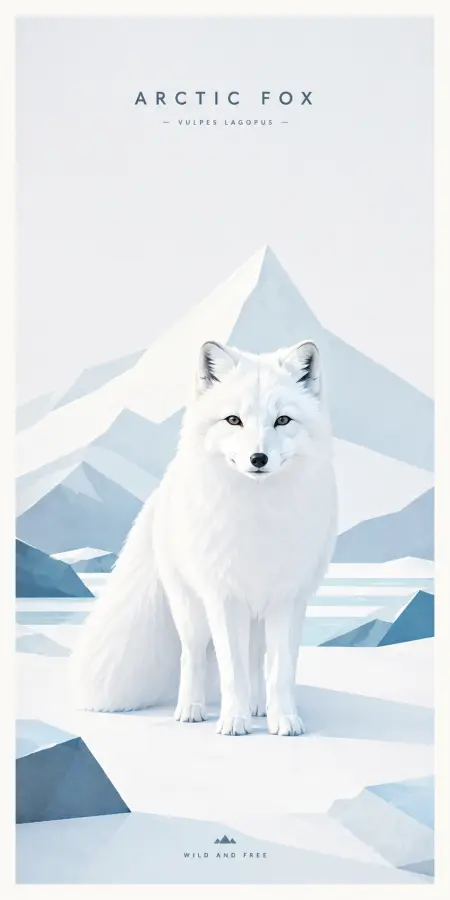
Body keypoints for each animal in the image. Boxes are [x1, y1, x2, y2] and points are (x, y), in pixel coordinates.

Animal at [70, 339, 337, 736]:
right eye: (233, 420)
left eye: (283, 420)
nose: (259, 458)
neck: (259, 520)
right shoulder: (223, 598)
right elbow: (231, 671)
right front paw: (233, 721)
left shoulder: (287, 599)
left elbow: (279, 670)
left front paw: (284, 719)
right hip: (190, 609)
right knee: (193, 655)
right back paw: (191, 709)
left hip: (257, 617)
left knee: (256, 657)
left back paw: (259, 707)